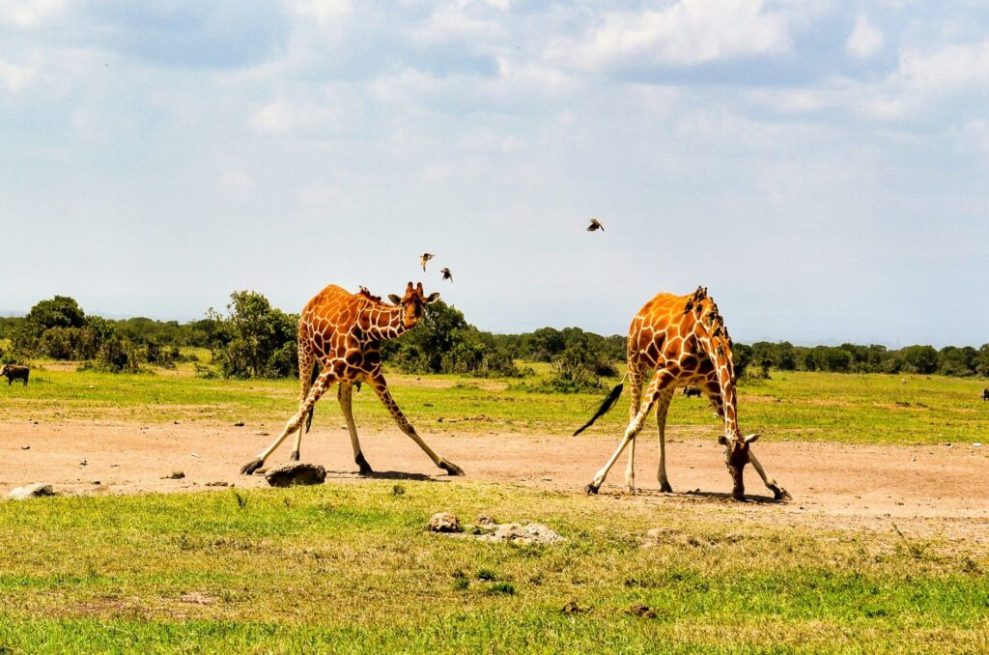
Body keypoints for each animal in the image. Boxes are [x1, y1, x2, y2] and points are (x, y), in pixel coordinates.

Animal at [239, 280, 464, 476]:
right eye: (403, 302)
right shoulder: (330, 368)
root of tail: (314, 299)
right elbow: (295, 419)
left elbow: (404, 422)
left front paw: (448, 464)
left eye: (423, 303)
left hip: (345, 376)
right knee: (303, 398)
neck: (369, 330)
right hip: (304, 347)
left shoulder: (375, 376)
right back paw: (294, 455)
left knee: (344, 402)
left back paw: (362, 461)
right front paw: (254, 462)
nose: (410, 319)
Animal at [572, 288, 788, 502]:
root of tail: (642, 309)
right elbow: (635, 426)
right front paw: (595, 482)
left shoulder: (710, 384)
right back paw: (629, 482)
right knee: (633, 413)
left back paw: (664, 481)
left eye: (745, 462)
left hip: (671, 382)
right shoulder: (663, 372)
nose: (739, 493)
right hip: (635, 362)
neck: (704, 338)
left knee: (660, 418)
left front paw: (776, 487)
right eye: (727, 461)